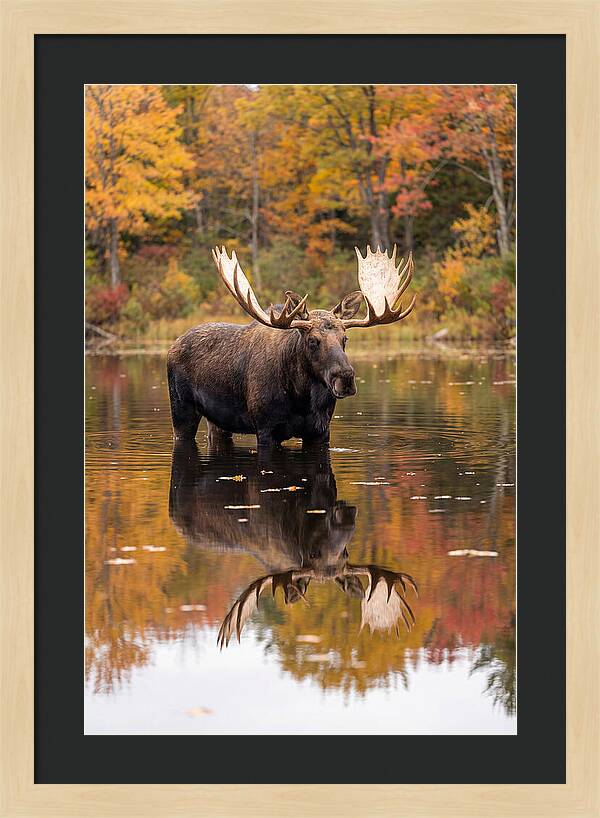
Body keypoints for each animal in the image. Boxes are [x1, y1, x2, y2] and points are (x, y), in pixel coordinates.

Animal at [167, 245, 416, 447]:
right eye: (312, 340)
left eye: (345, 339)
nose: (345, 378)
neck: (301, 398)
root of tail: (174, 345)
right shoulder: (266, 428)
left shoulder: (320, 431)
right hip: (181, 409)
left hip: (218, 421)